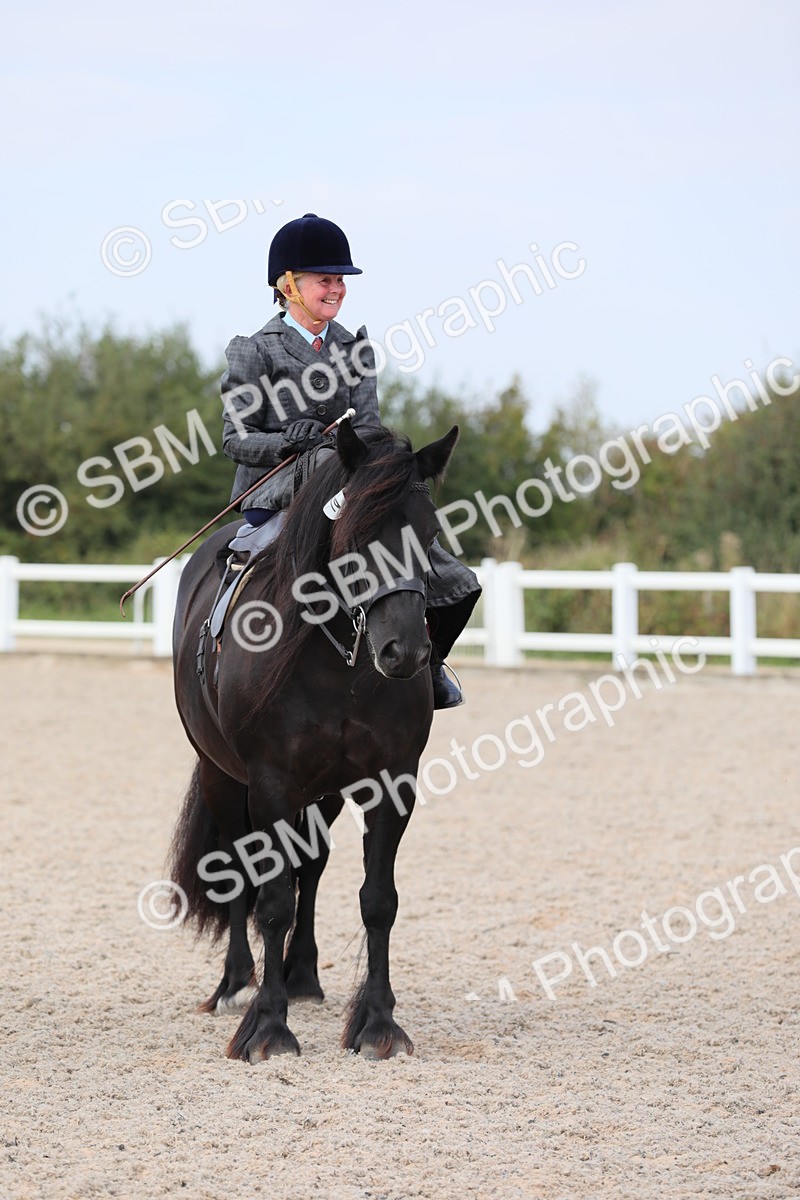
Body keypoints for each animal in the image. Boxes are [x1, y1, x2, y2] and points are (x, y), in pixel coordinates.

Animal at [168, 419, 459, 1062]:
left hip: (322, 792)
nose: (406, 652)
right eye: (356, 533)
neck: (338, 659)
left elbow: (378, 900)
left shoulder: (391, 782)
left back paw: (301, 975)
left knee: (313, 865)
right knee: (240, 868)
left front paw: (378, 1023)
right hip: (221, 775)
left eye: (429, 534)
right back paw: (236, 984)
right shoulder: (271, 784)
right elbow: (272, 900)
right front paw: (268, 1027)